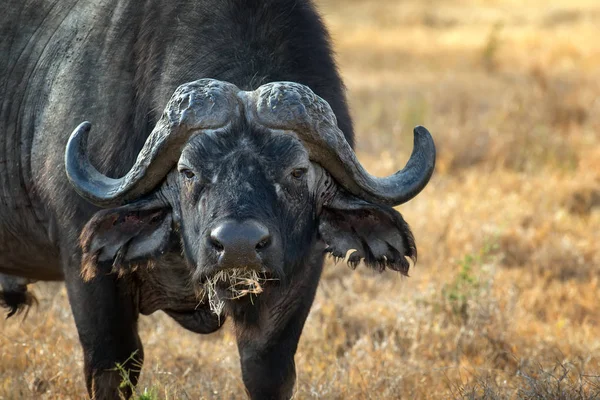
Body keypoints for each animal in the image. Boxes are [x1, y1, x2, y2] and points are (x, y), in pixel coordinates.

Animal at [2, 1, 438, 398]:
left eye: (297, 171)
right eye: (188, 171)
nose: (238, 245)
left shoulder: (296, 281)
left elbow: (265, 370)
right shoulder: (88, 271)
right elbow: (112, 368)